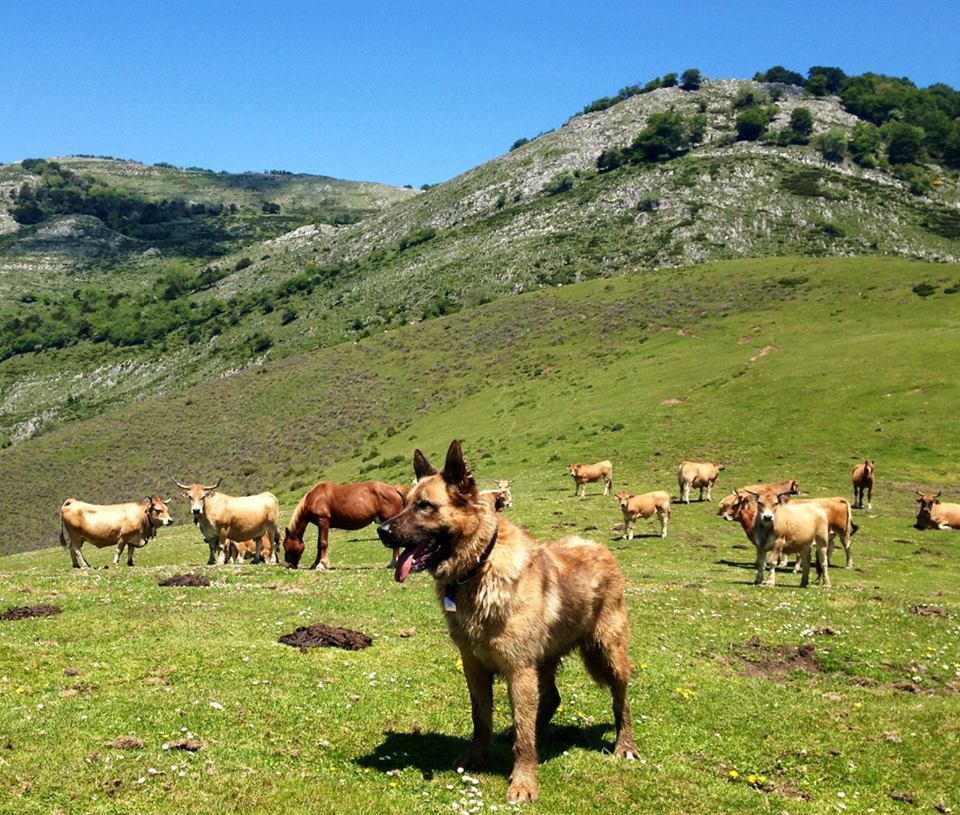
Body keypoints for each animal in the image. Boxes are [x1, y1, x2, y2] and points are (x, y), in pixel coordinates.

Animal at [376, 440, 636, 804]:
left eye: (425, 506)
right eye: (404, 503)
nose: (381, 530)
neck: (479, 567)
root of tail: (599, 548)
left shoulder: (519, 669)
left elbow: (524, 737)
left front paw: (524, 781)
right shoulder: (475, 667)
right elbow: (481, 718)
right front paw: (478, 756)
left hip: (608, 653)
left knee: (620, 699)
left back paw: (624, 744)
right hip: (546, 659)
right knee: (551, 699)